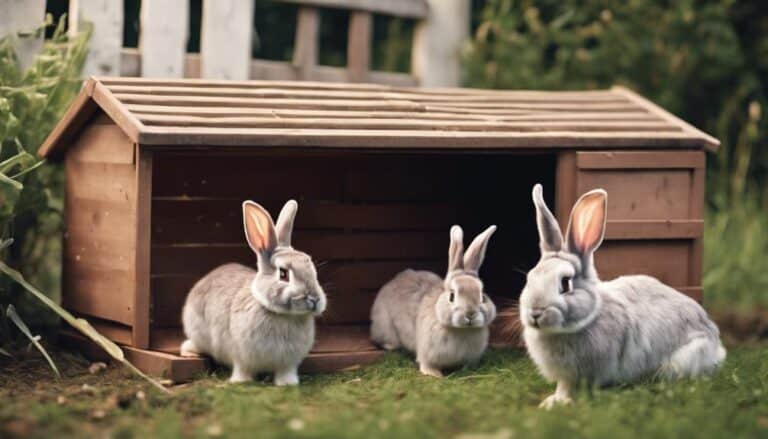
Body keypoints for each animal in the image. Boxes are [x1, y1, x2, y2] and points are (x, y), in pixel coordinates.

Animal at [180, 199, 326, 385]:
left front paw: (288, 383)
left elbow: (285, 372)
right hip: (198, 334)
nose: (314, 299)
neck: (282, 314)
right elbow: (242, 369)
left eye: (311, 269)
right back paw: (188, 352)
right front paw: (241, 381)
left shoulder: (288, 363)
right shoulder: (241, 357)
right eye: (283, 274)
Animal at [370, 225, 498, 377]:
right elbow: (427, 364)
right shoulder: (426, 351)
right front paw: (434, 374)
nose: (470, 314)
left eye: (482, 296)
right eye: (452, 296)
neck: (460, 330)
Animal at [520, 184, 726, 408]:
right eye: (529, 278)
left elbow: (570, 387)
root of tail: (716, 344)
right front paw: (552, 400)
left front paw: (562, 402)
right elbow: (562, 386)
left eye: (565, 283)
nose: (535, 313)